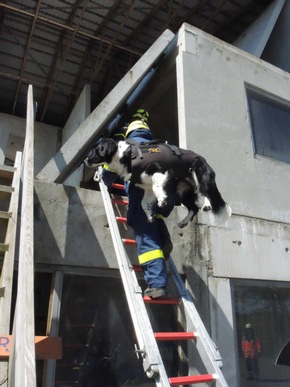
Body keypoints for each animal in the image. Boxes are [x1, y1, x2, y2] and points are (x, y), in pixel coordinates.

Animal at [85, 140, 231, 227]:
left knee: (207, 193)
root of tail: (203, 159)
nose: (85, 161)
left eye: (96, 150)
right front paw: (150, 216)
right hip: (183, 192)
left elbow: (157, 187)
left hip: (200, 176)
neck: (127, 156)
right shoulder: (146, 187)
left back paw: (207, 205)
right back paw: (184, 221)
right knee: (194, 207)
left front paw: (162, 200)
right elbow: (143, 202)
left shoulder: (159, 169)